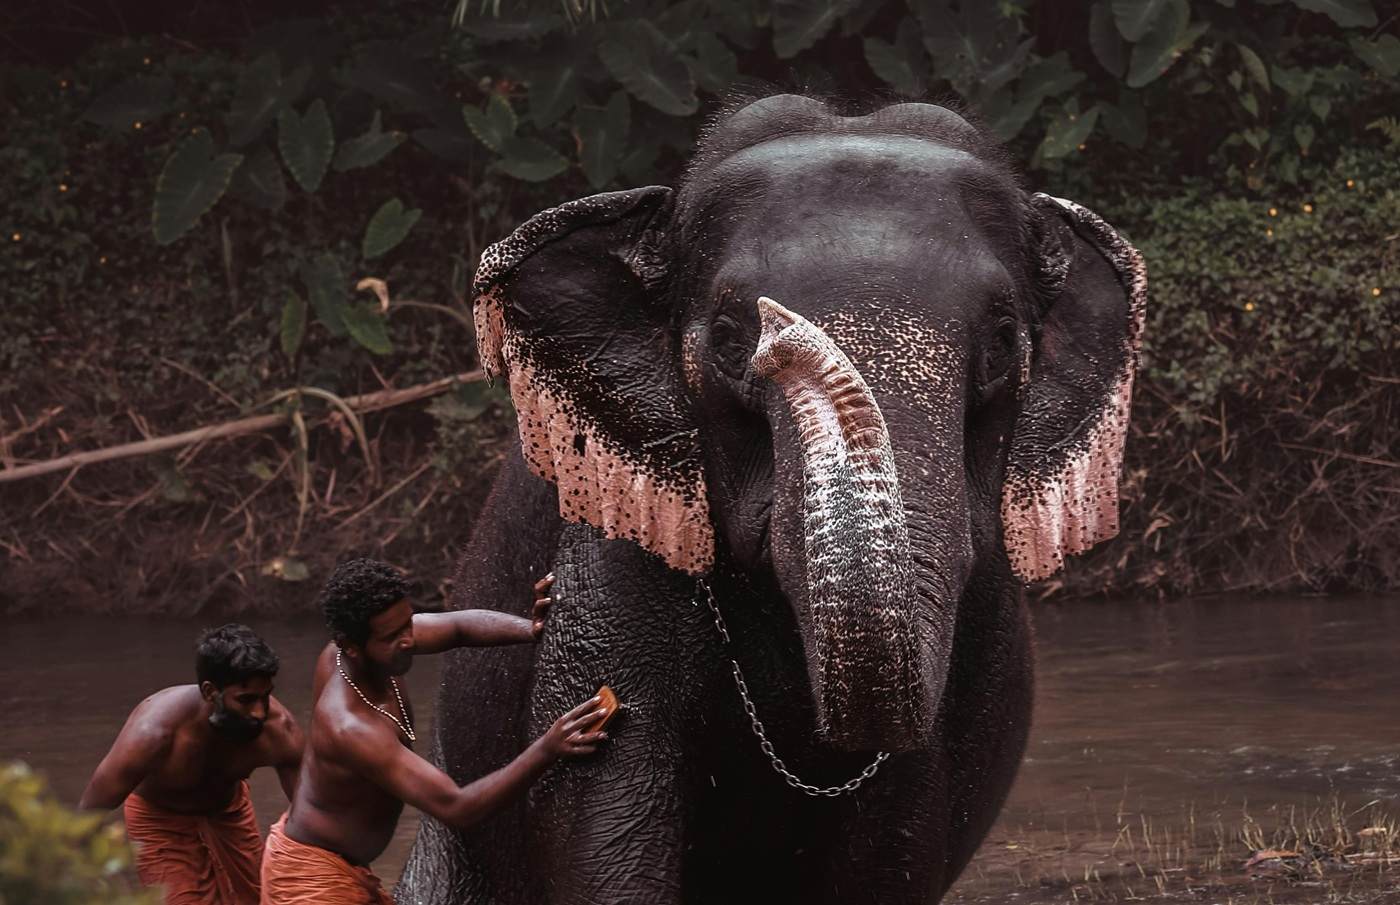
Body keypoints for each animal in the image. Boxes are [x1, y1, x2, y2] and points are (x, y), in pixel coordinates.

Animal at [397, 93, 1145, 905]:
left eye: (1005, 340)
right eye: (728, 337)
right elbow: (599, 811)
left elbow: (896, 835)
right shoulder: (613, 552)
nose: (778, 334)